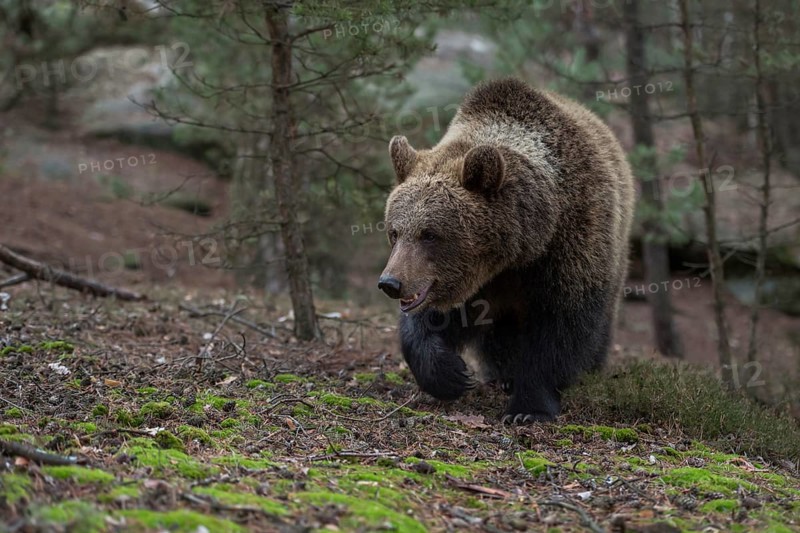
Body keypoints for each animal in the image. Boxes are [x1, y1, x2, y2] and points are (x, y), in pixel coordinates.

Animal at [378, 78, 635, 423]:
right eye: (395, 231)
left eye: (429, 234)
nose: (391, 283)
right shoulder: (464, 282)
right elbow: (430, 320)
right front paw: (452, 374)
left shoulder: (571, 243)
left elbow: (561, 326)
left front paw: (529, 407)